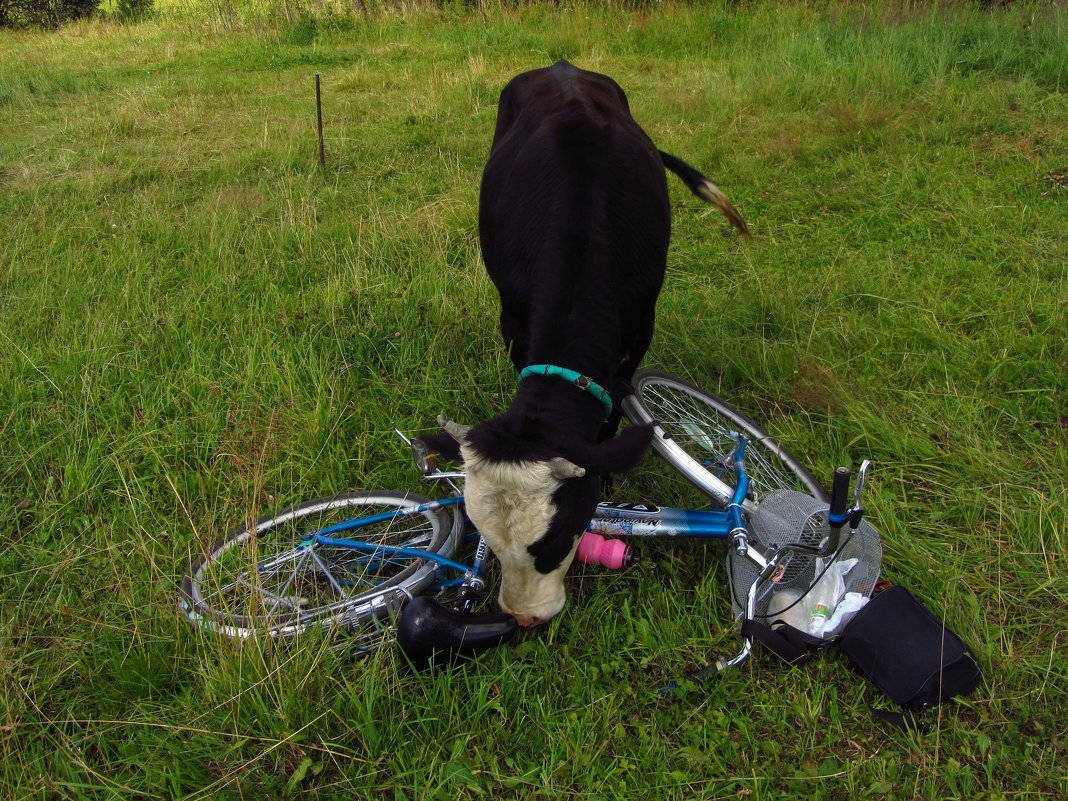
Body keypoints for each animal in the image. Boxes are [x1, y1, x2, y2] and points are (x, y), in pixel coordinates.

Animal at [425, 61, 743, 627]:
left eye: (555, 543)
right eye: (487, 540)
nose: (523, 617)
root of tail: (562, 66)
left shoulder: (639, 327)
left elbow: (614, 407)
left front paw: (610, 478)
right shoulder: (514, 320)